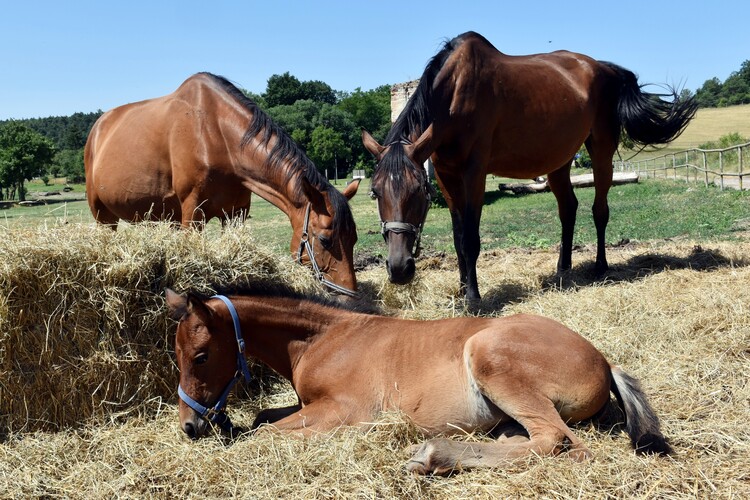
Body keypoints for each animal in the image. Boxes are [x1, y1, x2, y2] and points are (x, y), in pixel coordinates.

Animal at [85, 72, 362, 294]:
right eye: (324, 239)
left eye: (354, 238)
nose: (349, 296)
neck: (216, 134)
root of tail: (98, 128)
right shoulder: (192, 213)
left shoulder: (236, 214)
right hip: (101, 214)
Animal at [167, 288, 672, 474]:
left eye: (200, 356)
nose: (189, 427)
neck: (323, 339)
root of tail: (604, 360)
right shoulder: (308, 404)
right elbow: (264, 415)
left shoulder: (342, 411)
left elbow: (266, 433)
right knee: (527, 438)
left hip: (490, 357)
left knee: (560, 441)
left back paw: (432, 454)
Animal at [364, 32, 700, 300]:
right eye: (375, 192)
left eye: (417, 190)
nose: (399, 269)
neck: (454, 95)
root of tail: (605, 68)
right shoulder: (447, 176)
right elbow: (459, 238)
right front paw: (461, 290)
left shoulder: (474, 173)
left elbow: (470, 239)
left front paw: (473, 297)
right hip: (558, 161)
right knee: (569, 208)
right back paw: (563, 269)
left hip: (602, 151)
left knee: (599, 210)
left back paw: (599, 267)